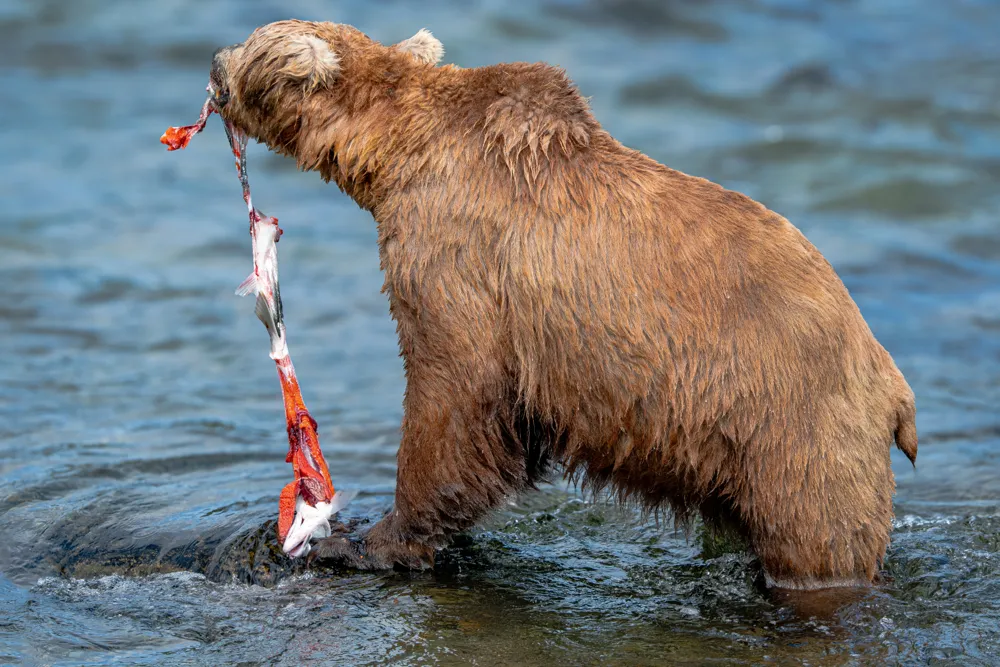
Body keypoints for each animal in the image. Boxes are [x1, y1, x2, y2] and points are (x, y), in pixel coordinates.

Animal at [206, 19, 917, 589]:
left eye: (250, 47)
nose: (213, 60)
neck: (397, 155)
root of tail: (891, 382)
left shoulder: (459, 259)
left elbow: (455, 393)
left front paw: (366, 541)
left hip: (791, 428)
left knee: (818, 543)